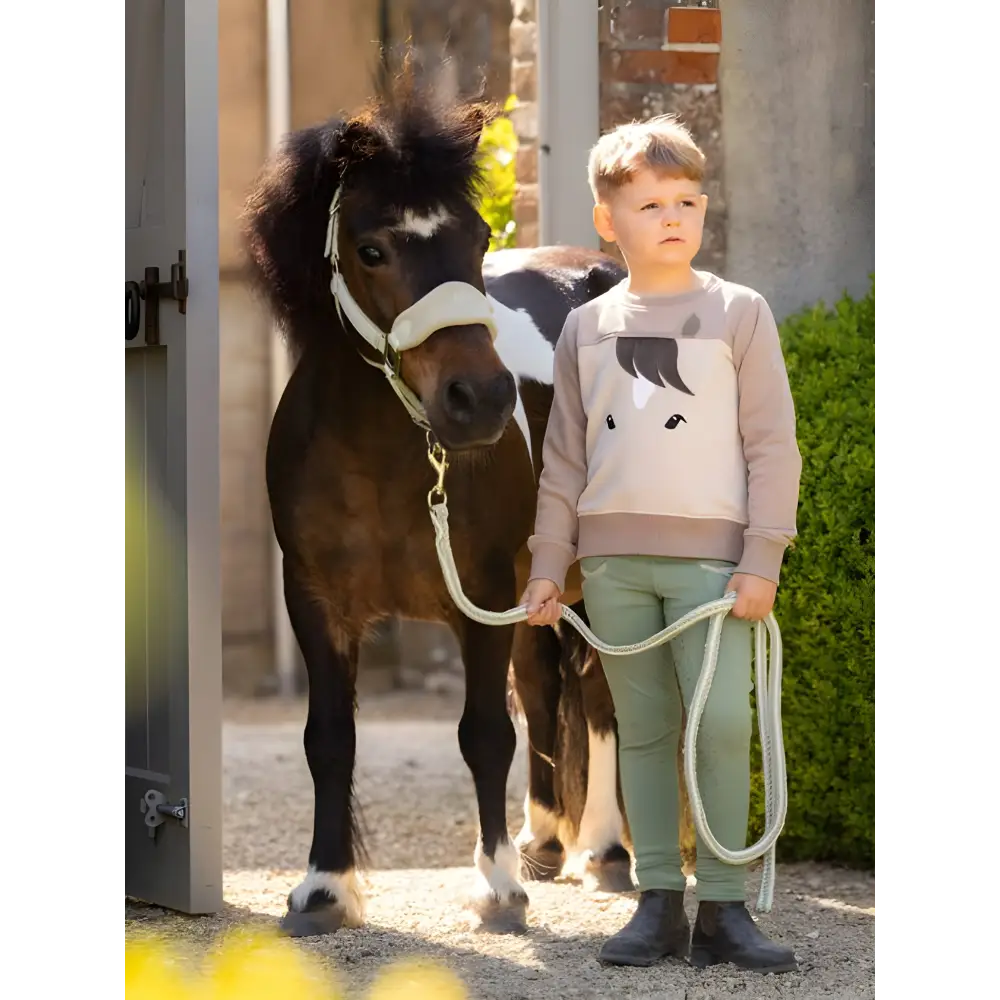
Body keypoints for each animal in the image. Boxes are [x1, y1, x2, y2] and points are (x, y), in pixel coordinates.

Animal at [238, 70, 636, 936]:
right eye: (372, 249)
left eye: (479, 239)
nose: (481, 400)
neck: (381, 459)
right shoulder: (314, 600)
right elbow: (330, 738)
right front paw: (324, 889)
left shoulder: (477, 594)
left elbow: (484, 734)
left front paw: (497, 891)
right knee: (547, 687)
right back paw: (545, 843)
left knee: (600, 699)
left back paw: (604, 850)